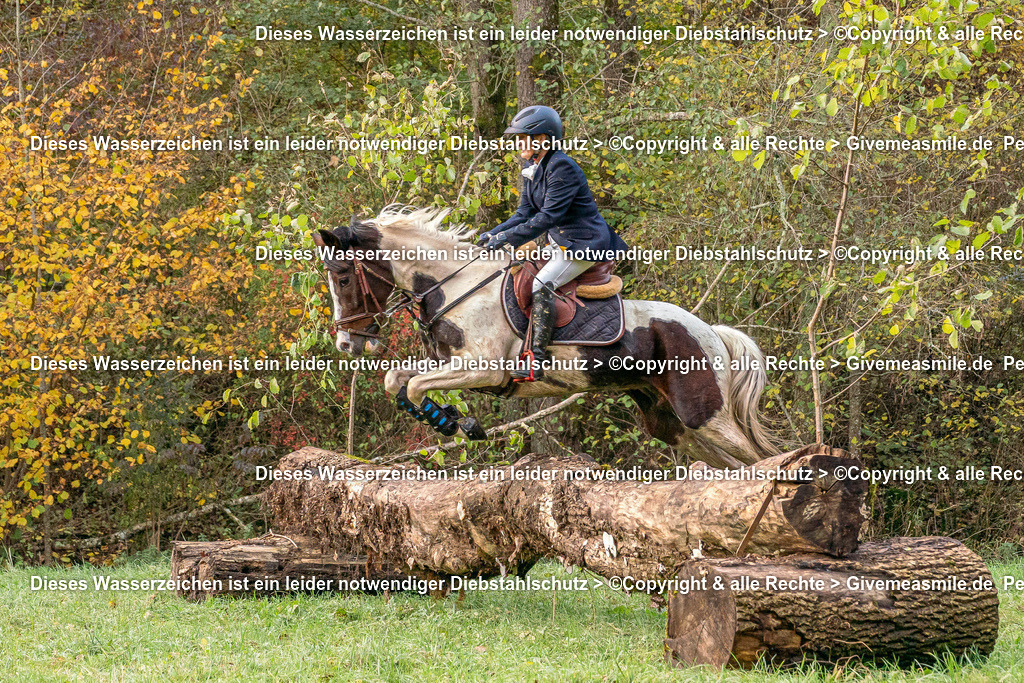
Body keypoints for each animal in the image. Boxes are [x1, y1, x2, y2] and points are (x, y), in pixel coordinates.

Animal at [311, 205, 774, 466]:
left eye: (343, 277)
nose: (347, 344)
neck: (453, 285)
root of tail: (711, 332)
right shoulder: (448, 363)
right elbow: (399, 381)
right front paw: (449, 420)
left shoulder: (484, 370)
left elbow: (413, 385)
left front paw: (454, 423)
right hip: (670, 422)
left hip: (704, 413)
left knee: (760, 457)